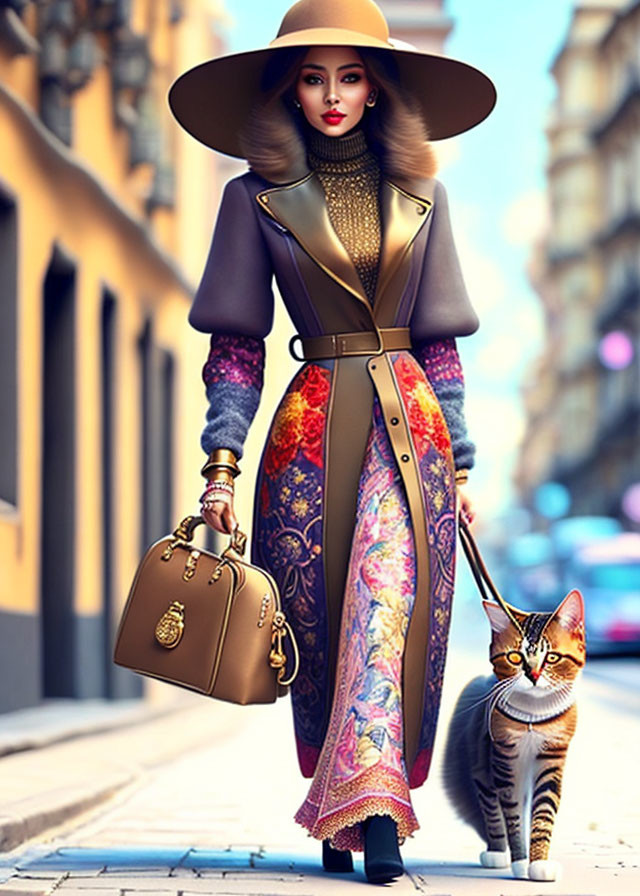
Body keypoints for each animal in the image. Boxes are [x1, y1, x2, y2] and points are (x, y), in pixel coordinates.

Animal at [442, 588, 588, 880]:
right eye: (515, 658)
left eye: (551, 658)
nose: (533, 675)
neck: (533, 717)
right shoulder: (503, 760)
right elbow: (510, 816)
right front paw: (520, 860)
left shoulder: (552, 756)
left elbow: (543, 813)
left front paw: (538, 861)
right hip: (482, 765)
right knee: (491, 809)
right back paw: (496, 852)